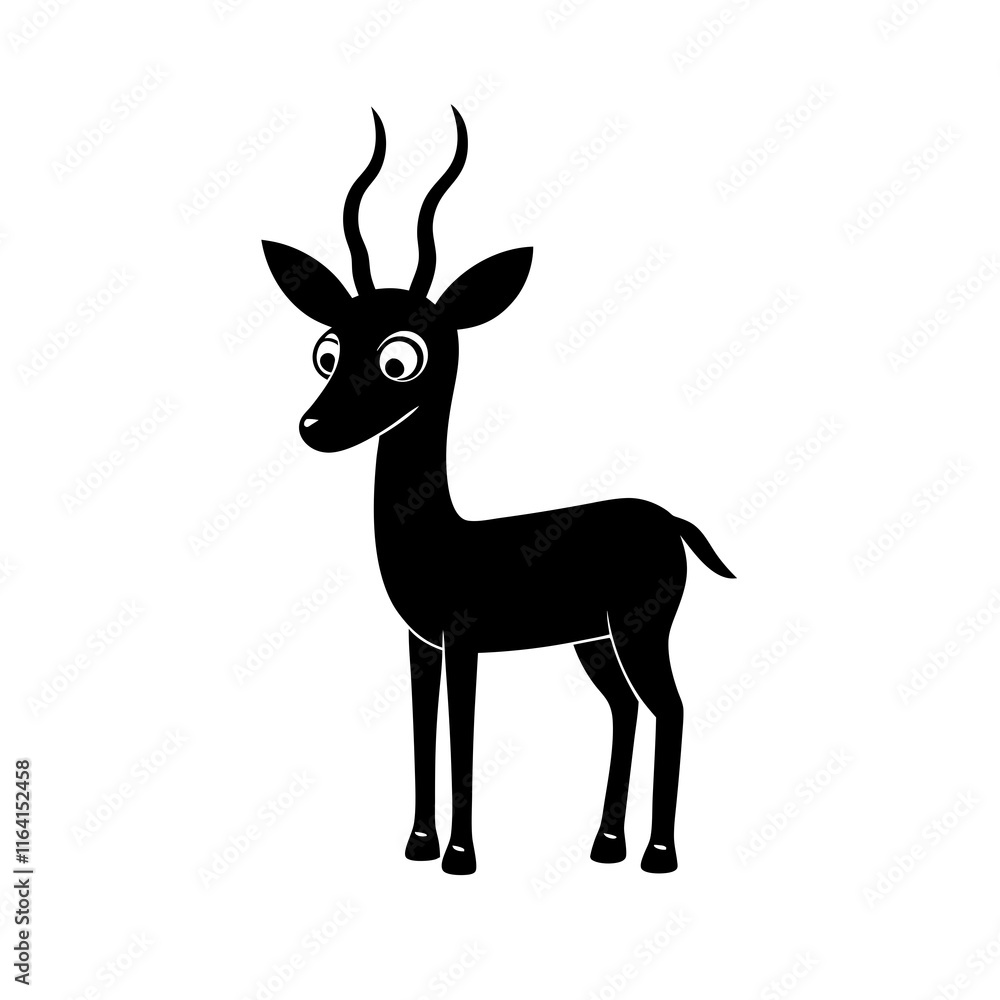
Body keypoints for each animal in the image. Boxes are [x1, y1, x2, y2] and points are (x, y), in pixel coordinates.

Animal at [262, 108, 734, 875]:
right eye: (326, 351)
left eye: (400, 358)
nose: (315, 427)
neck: (441, 537)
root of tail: (670, 519)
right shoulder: (421, 645)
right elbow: (422, 734)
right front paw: (418, 846)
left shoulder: (465, 643)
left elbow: (462, 737)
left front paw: (459, 856)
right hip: (594, 640)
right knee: (626, 709)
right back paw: (605, 846)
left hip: (642, 629)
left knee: (673, 708)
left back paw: (657, 855)